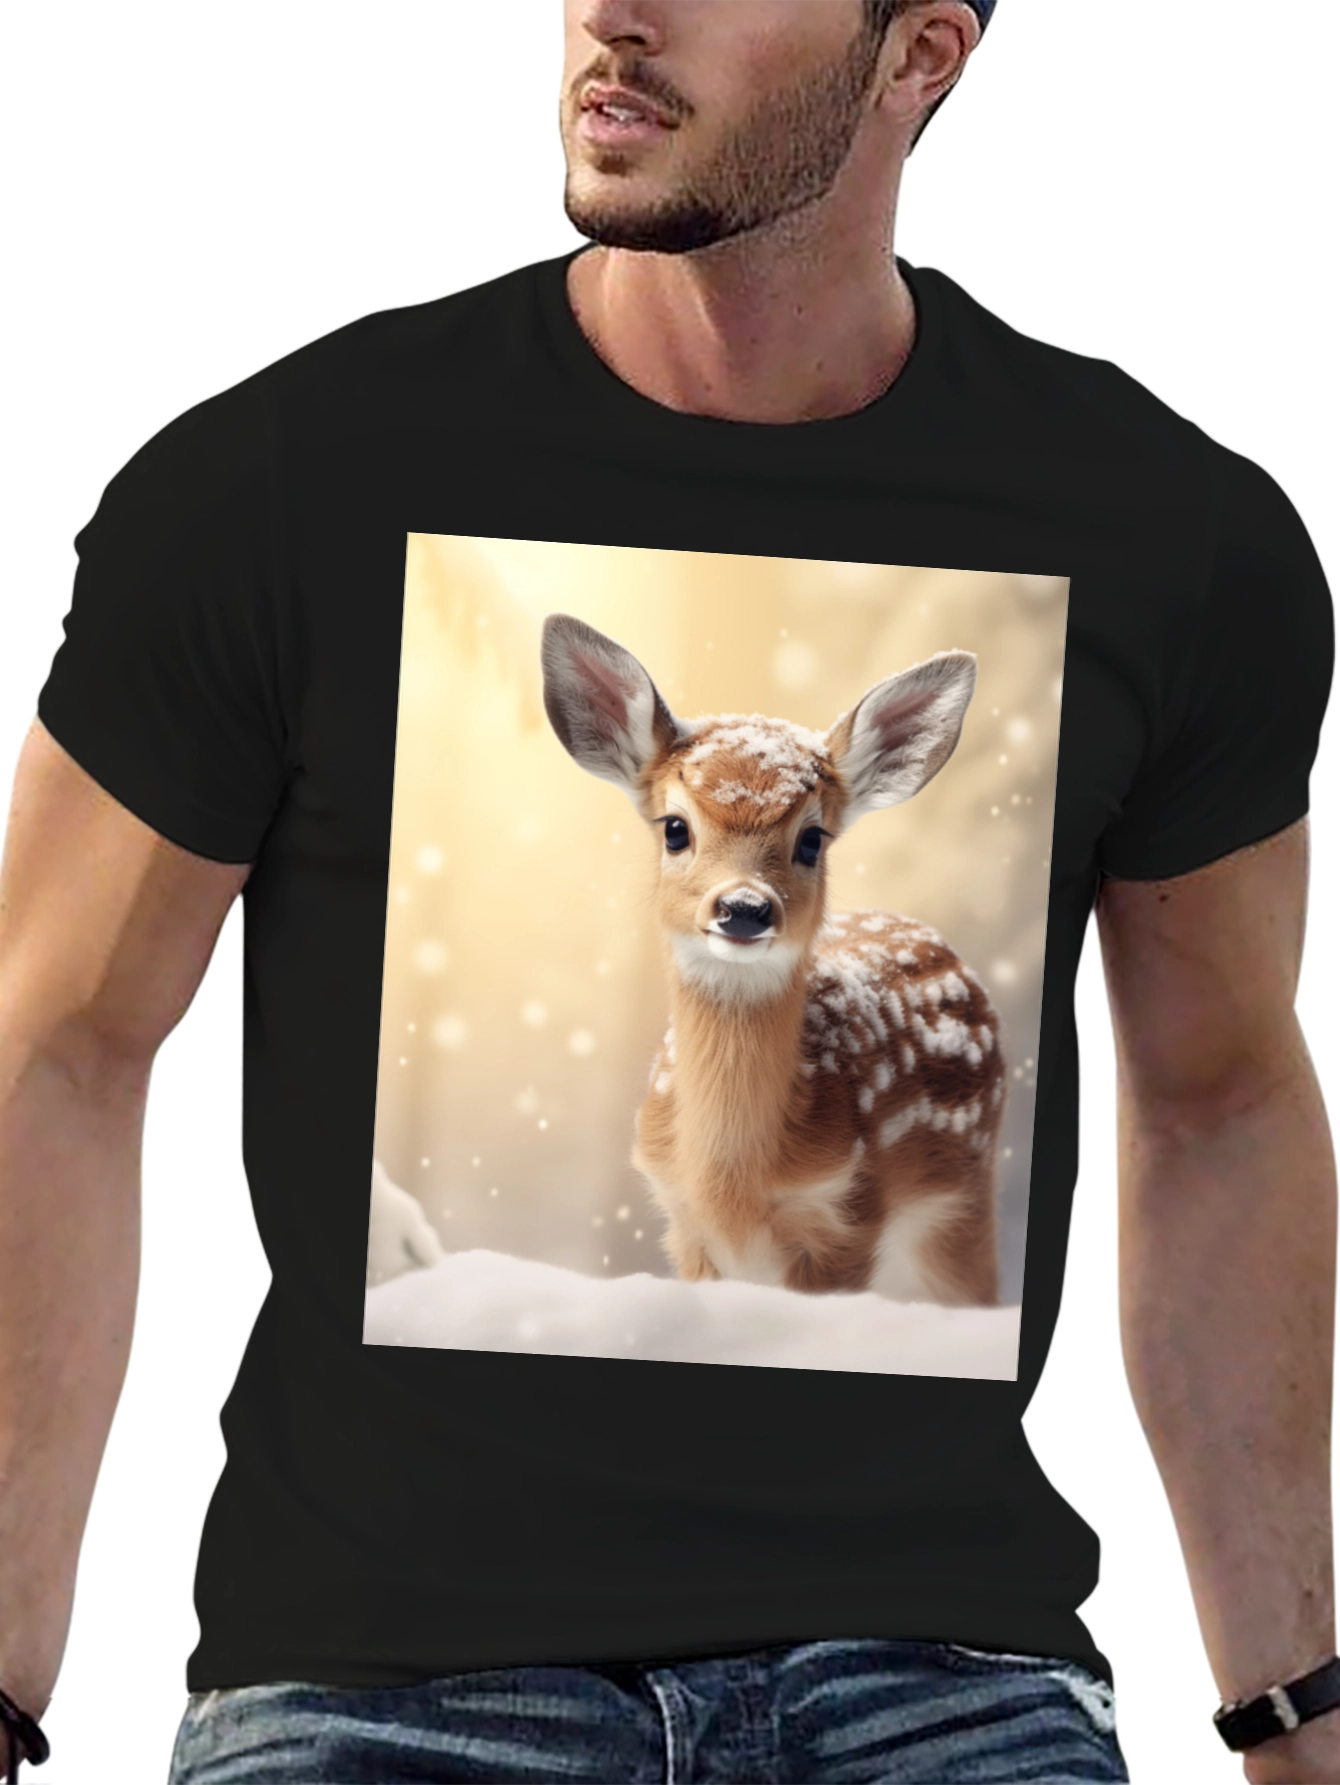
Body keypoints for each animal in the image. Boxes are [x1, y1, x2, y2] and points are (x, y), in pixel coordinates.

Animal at [540, 614, 1006, 1307]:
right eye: (675, 828)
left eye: (812, 839)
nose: (743, 907)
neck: (731, 1183)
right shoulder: (684, 1225)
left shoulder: (847, 1213)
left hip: (962, 1203)